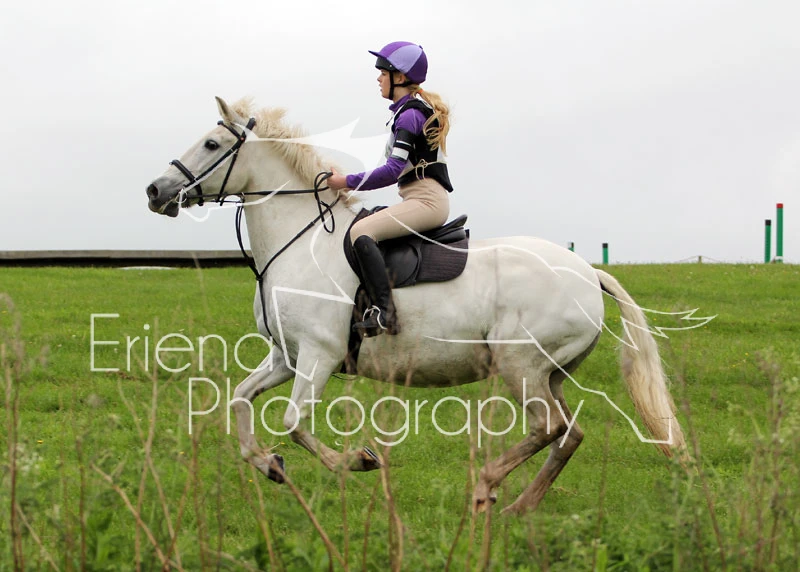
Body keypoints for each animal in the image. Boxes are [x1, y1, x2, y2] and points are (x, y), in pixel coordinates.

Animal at [145, 96, 686, 514]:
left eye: (211, 145)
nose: (155, 191)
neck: (298, 242)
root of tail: (587, 272)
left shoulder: (319, 356)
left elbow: (294, 422)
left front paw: (358, 461)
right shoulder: (286, 357)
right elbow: (239, 399)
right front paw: (269, 464)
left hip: (521, 366)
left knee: (548, 426)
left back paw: (487, 488)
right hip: (550, 373)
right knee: (568, 433)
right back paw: (520, 505)